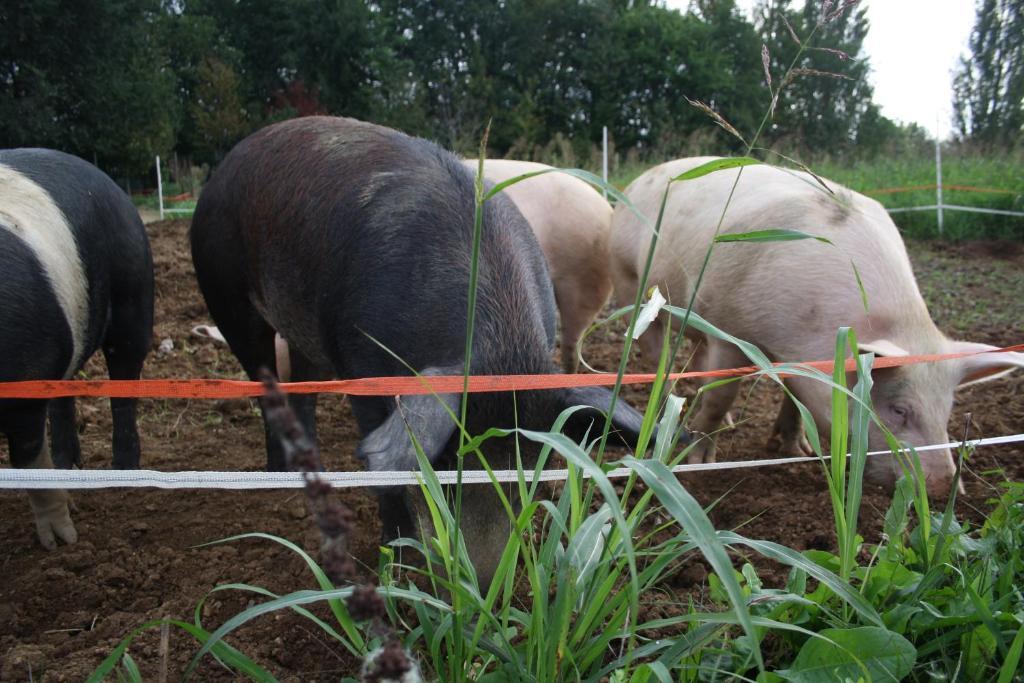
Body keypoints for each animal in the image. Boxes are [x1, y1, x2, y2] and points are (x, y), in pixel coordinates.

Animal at [1, 149, 153, 548]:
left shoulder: (26, 373)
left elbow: (28, 459)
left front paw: (61, 542)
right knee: (63, 396)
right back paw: (68, 463)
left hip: (133, 293)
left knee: (124, 385)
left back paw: (123, 472)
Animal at [190, 118, 647, 581]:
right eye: (442, 461)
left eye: (536, 463)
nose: (482, 580)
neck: (498, 346)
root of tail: (230, 161)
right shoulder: (363, 366)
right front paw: (397, 559)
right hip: (223, 289)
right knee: (263, 377)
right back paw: (279, 475)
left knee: (304, 385)